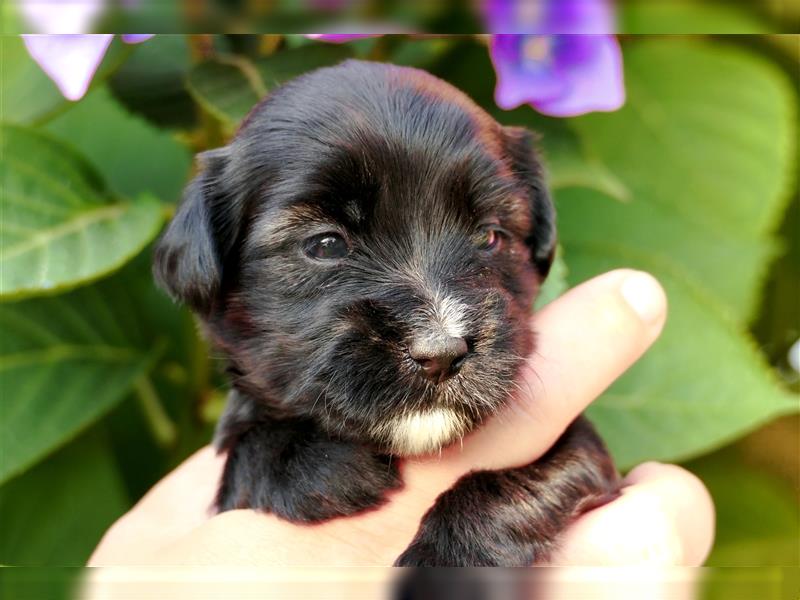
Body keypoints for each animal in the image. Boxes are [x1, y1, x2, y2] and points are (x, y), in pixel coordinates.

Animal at [155, 61, 620, 568]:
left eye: (490, 236)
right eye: (325, 244)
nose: (442, 352)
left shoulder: (582, 447)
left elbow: (527, 479)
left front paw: (449, 559)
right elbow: (247, 449)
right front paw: (311, 463)